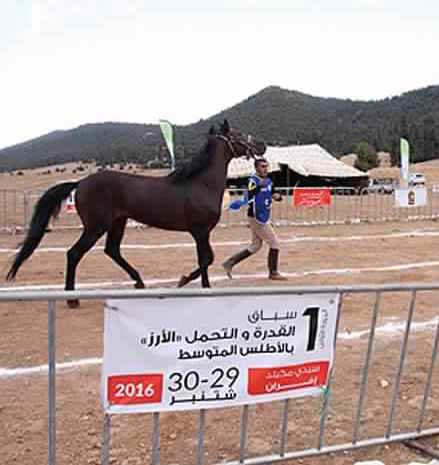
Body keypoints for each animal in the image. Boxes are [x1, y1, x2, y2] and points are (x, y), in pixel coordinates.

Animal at [6, 119, 266, 307]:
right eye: (238, 134)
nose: (262, 146)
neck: (200, 183)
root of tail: (80, 183)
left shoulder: (200, 233)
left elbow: (205, 259)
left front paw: (193, 283)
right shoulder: (200, 231)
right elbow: (206, 259)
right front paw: (191, 284)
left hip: (117, 222)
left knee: (112, 250)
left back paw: (139, 282)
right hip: (96, 226)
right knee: (74, 254)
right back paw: (72, 299)